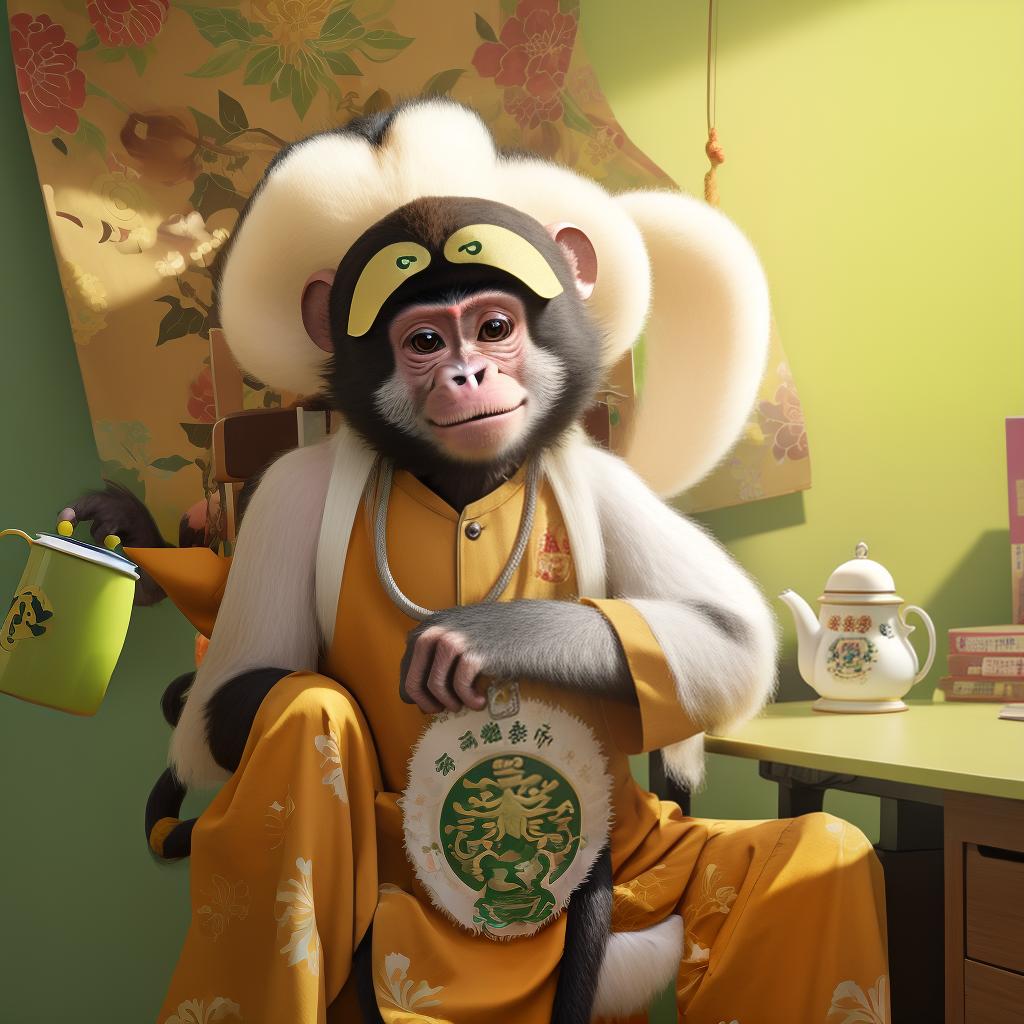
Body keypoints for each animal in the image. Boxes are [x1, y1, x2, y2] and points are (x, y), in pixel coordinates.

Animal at [70, 99, 774, 1024]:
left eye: (495, 327)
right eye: (426, 340)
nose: (467, 374)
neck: (459, 487)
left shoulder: (607, 481)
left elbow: (731, 637)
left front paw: (496, 638)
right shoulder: (285, 495)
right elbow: (226, 712)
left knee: (798, 855)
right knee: (300, 720)